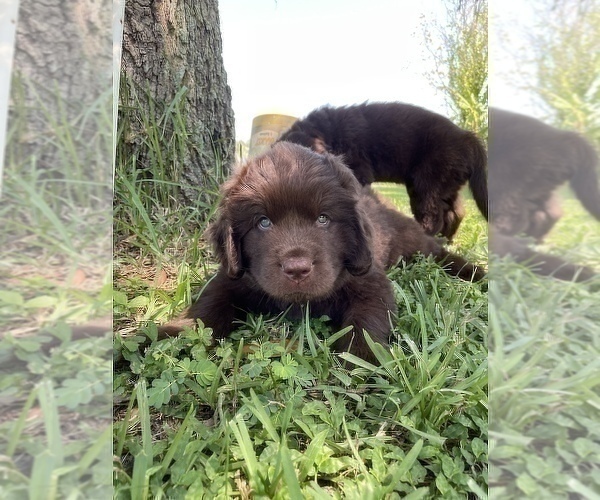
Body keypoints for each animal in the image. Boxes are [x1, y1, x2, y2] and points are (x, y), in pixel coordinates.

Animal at [162, 143, 486, 362]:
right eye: (263, 222)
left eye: (323, 219)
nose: (297, 268)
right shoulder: (232, 278)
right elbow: (208, 306)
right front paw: (174, 333)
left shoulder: (369, 279)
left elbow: (367, 321)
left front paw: (363, 359)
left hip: (414, 243)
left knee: (440, 253)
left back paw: (478, 273)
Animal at [278, 101, 488, 240]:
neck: (329, 133)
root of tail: (468, 137)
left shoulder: (358, 171)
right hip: (448, 184)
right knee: (456, 213)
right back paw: (446, 240)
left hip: (428, 184)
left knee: (434, 216)